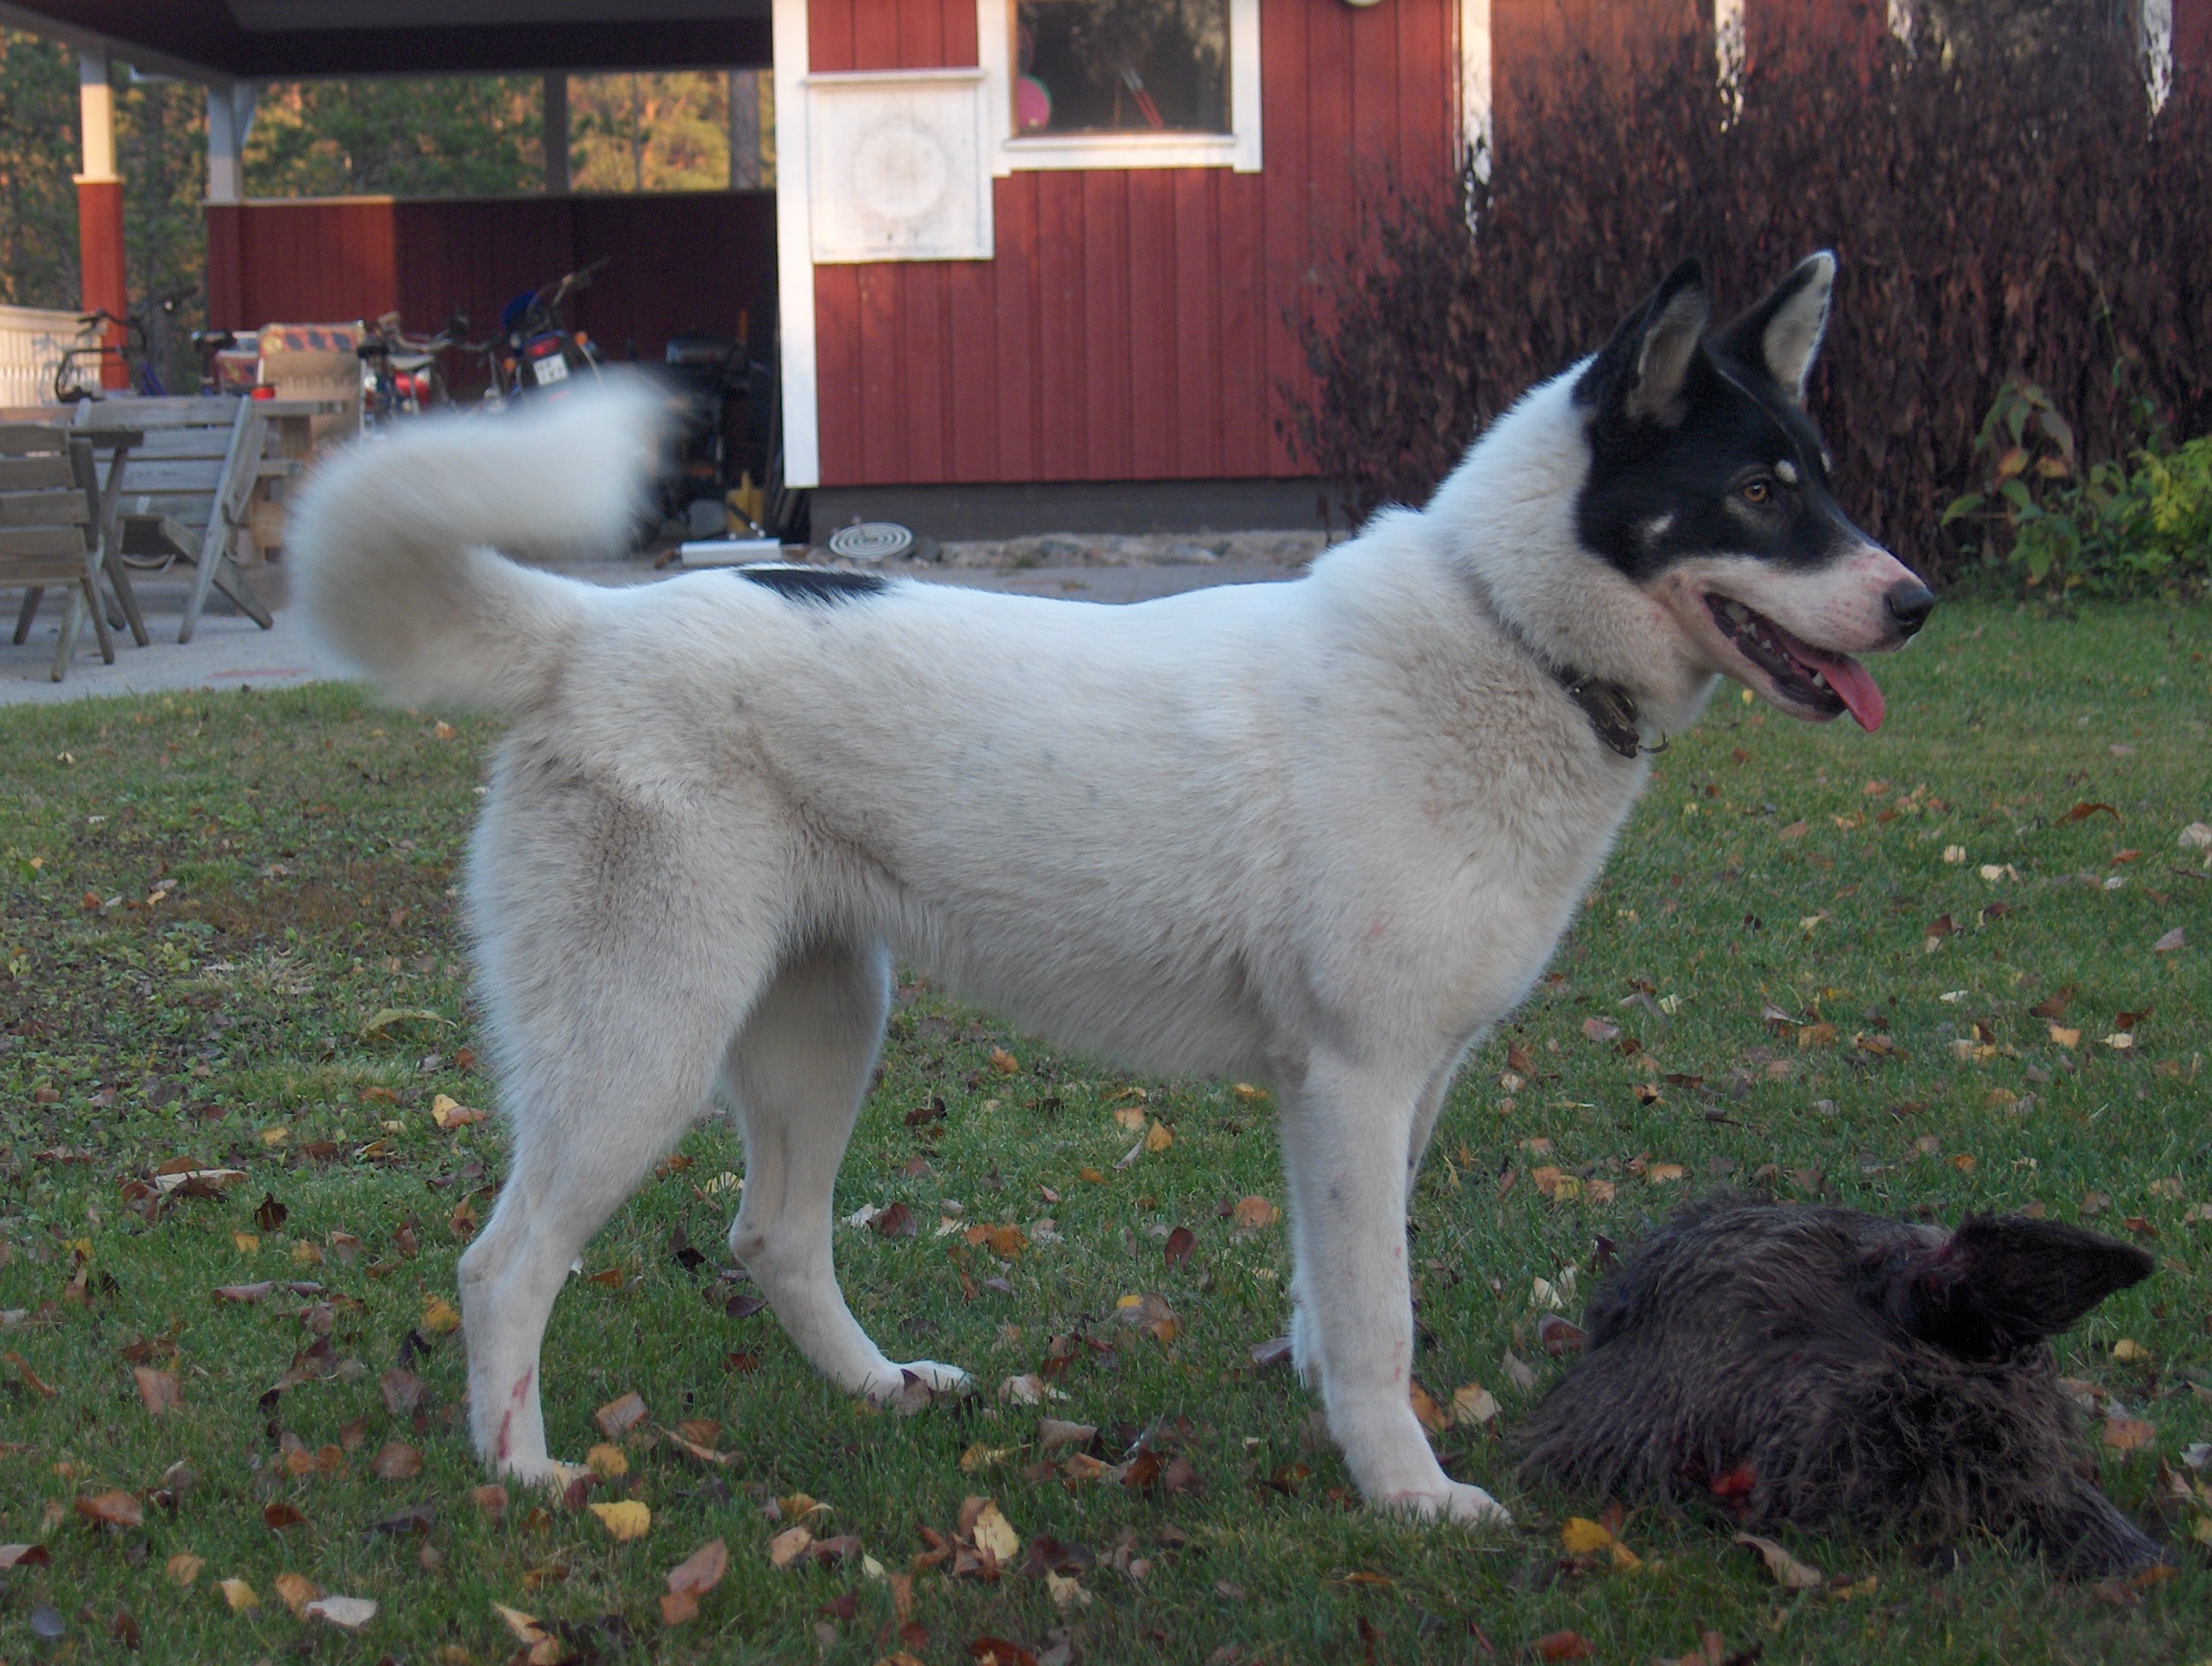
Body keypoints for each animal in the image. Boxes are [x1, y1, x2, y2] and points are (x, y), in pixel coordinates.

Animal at [298, 249, 1937, 1522]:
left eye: (1819, 483)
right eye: (1757, 489)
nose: (1917, 601)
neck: (1508, 637)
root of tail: (590, 630)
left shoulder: (1394, 1092)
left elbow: (1337, 1295)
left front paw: (1334, 1426)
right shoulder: (1354, 1078)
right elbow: (1381, 1318)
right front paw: (1408, 1495)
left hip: (824, 1027)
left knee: (774, 1237)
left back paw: (884, 1392)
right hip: (642, 1050)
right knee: (504, 1264)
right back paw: (523, 1476)